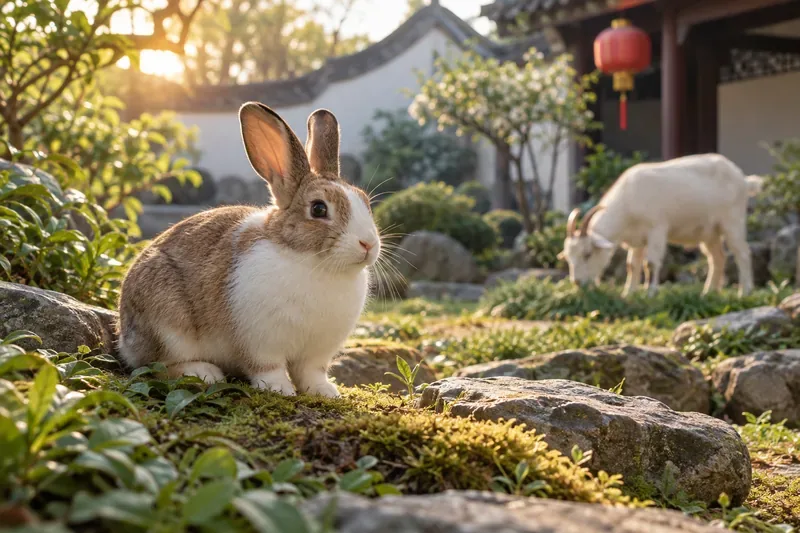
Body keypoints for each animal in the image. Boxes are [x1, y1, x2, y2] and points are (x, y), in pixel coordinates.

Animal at [116, 102, 381, 397]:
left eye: (365, 201)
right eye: (319, 209)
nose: (368, 244)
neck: (312, 262)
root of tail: (125, 337)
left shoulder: (316, 354)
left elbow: (311, 372)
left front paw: (325, 391)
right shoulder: (261, 342)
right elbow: (267, 367)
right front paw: (280, 389)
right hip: (168, 326)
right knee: (156, 365)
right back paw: (204, 372)